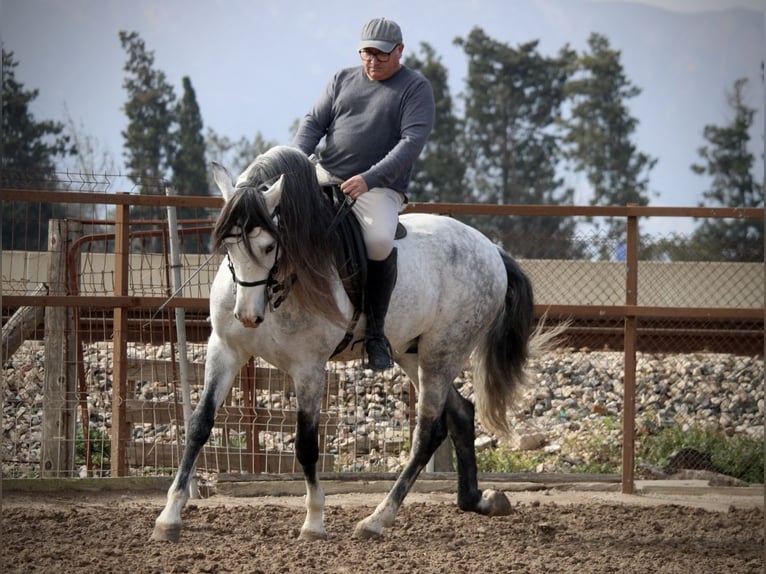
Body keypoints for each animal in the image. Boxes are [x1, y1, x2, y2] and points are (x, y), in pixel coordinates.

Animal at [152, 146, 544, 544]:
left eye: (268, 245)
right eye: (228, 244)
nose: (247, 315)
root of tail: (492, 249)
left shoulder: (308, 367)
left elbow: (306, 444)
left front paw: (314, 522)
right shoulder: (226, 351)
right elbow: (199, 425)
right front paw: (169, 518)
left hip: (442, 353)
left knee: (428, 432)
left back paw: (377, 519)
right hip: (412, 353)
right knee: (460, 414)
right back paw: (476, 499)